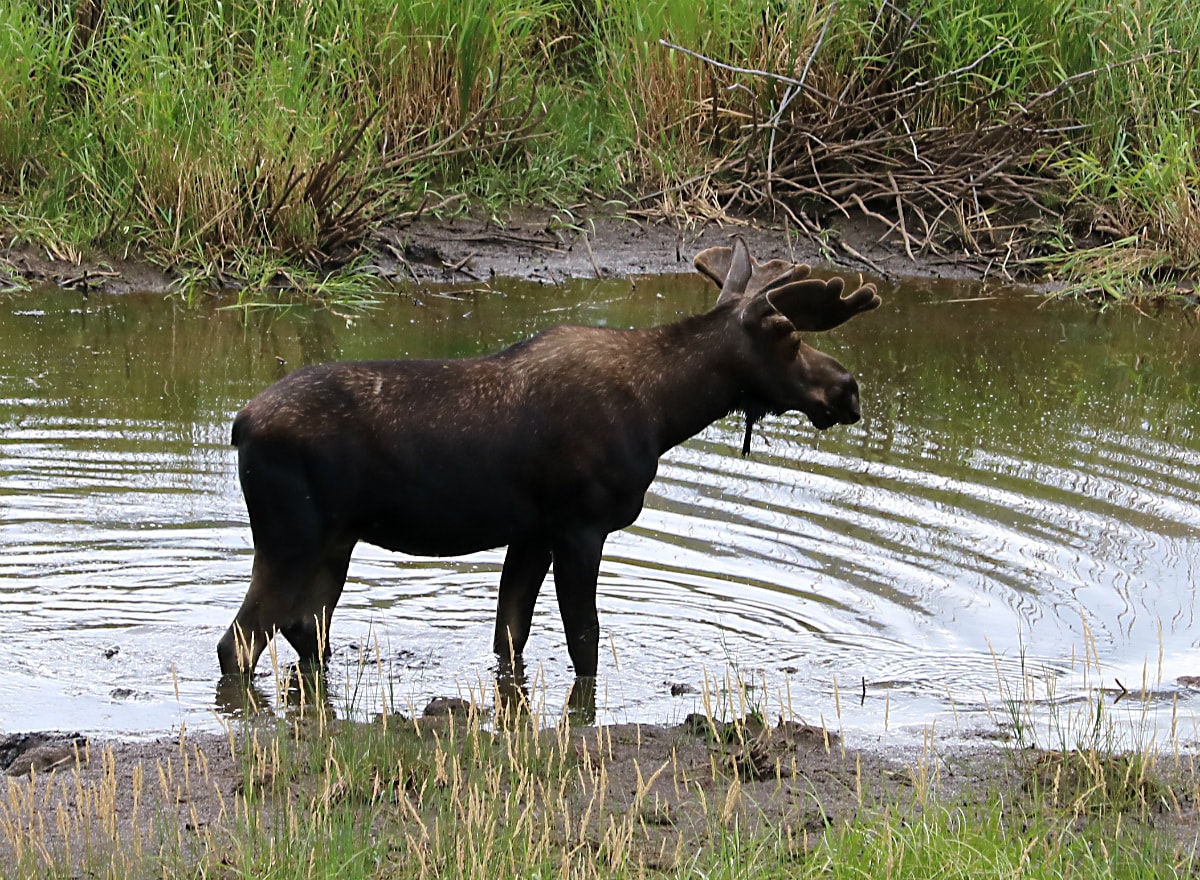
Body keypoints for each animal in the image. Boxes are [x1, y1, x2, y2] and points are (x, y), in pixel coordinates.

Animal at [217, 236, 881, 680]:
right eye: (788, 334)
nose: (847, 388)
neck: (666, 411)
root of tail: (239, 424)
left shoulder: (531, 532)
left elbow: (510, 636)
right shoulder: (580, 524)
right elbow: (583, 640)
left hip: (336, 541)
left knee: (301, 629)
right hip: (291, 535)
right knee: (239, 643)